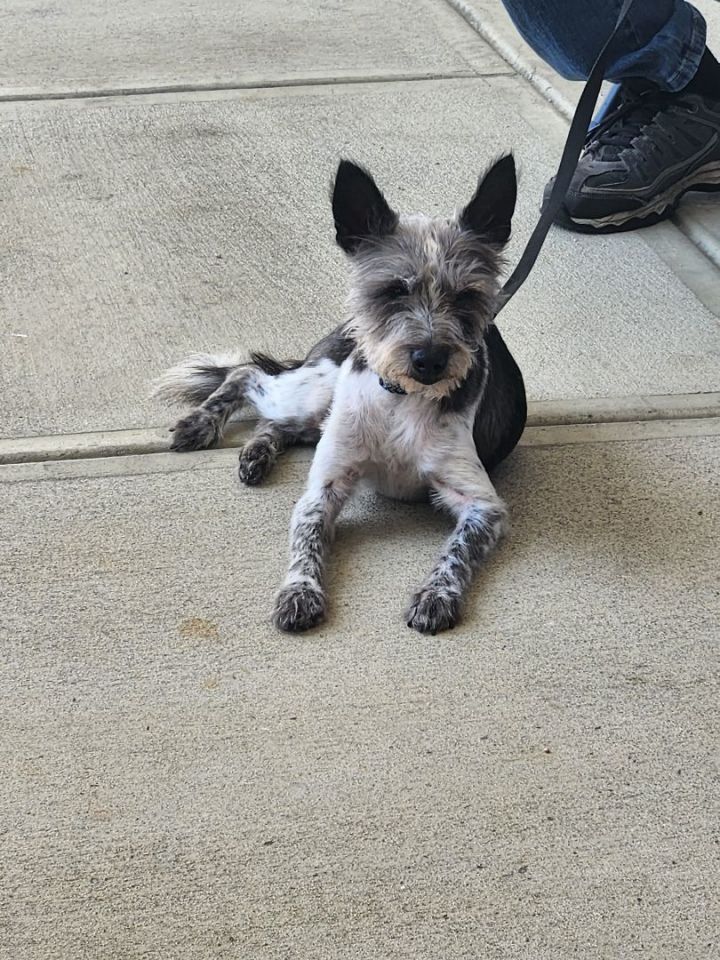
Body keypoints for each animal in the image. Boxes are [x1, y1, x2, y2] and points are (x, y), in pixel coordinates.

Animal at [153, 156, 524, 636]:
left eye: (466, 296)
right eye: (392, 290)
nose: (430, 360)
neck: (400, 400)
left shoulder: (483, 505)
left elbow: (457, 551)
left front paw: (437, 594)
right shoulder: (323, 488)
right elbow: (307, 536)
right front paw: (299, 589)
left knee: (277, 419)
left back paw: (256, 453)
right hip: (313, 390)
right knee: (246, 374)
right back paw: (202, 425)